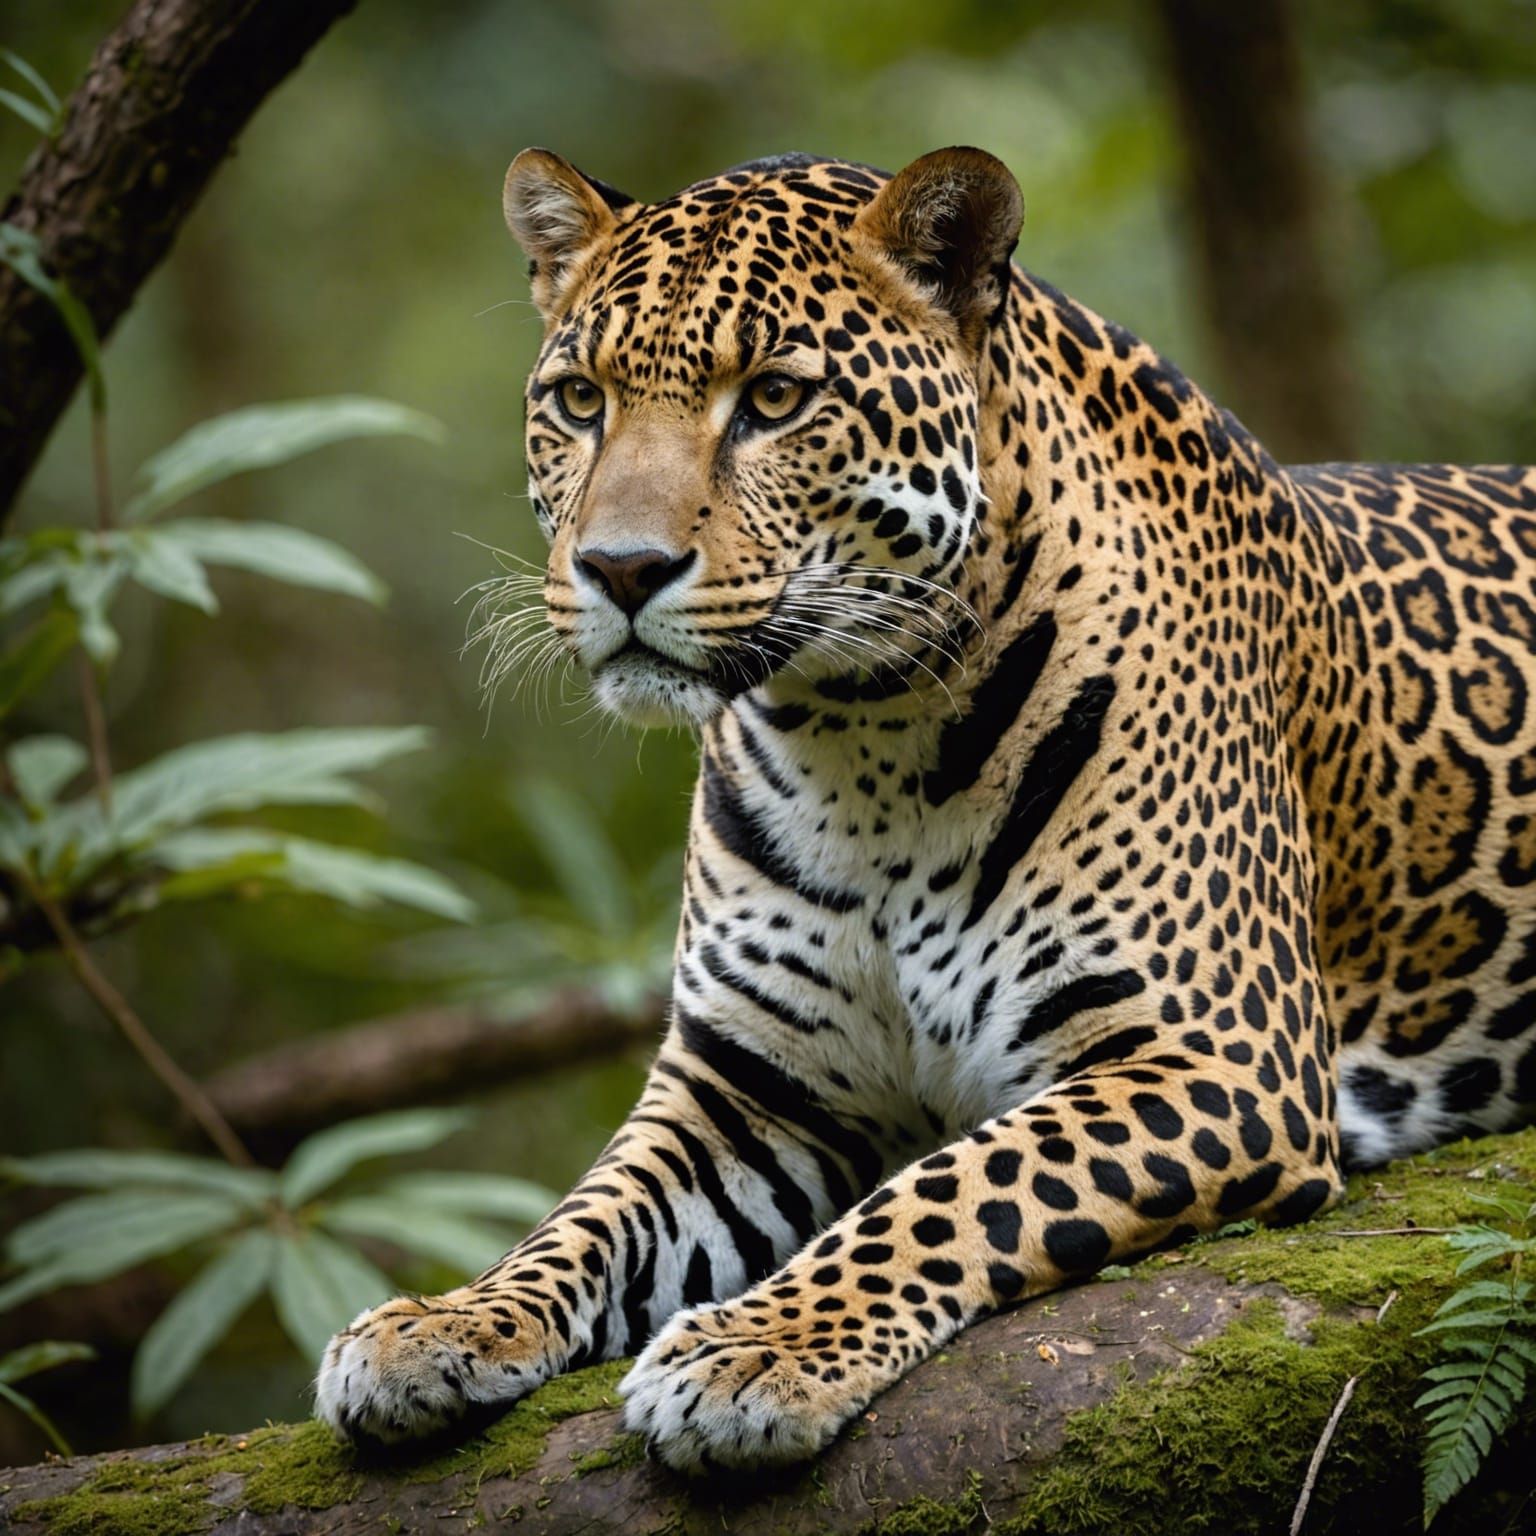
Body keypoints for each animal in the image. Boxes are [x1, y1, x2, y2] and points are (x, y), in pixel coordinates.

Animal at [315, 145, 1536, 1472]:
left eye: (776, 398)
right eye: (581, 401)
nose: (621, 570)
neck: (862, 745)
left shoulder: (1217, 1056)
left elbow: (951, 1192)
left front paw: (760, 1347)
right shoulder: (748, 1086)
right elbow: (586, 1214)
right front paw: (442, 1321)